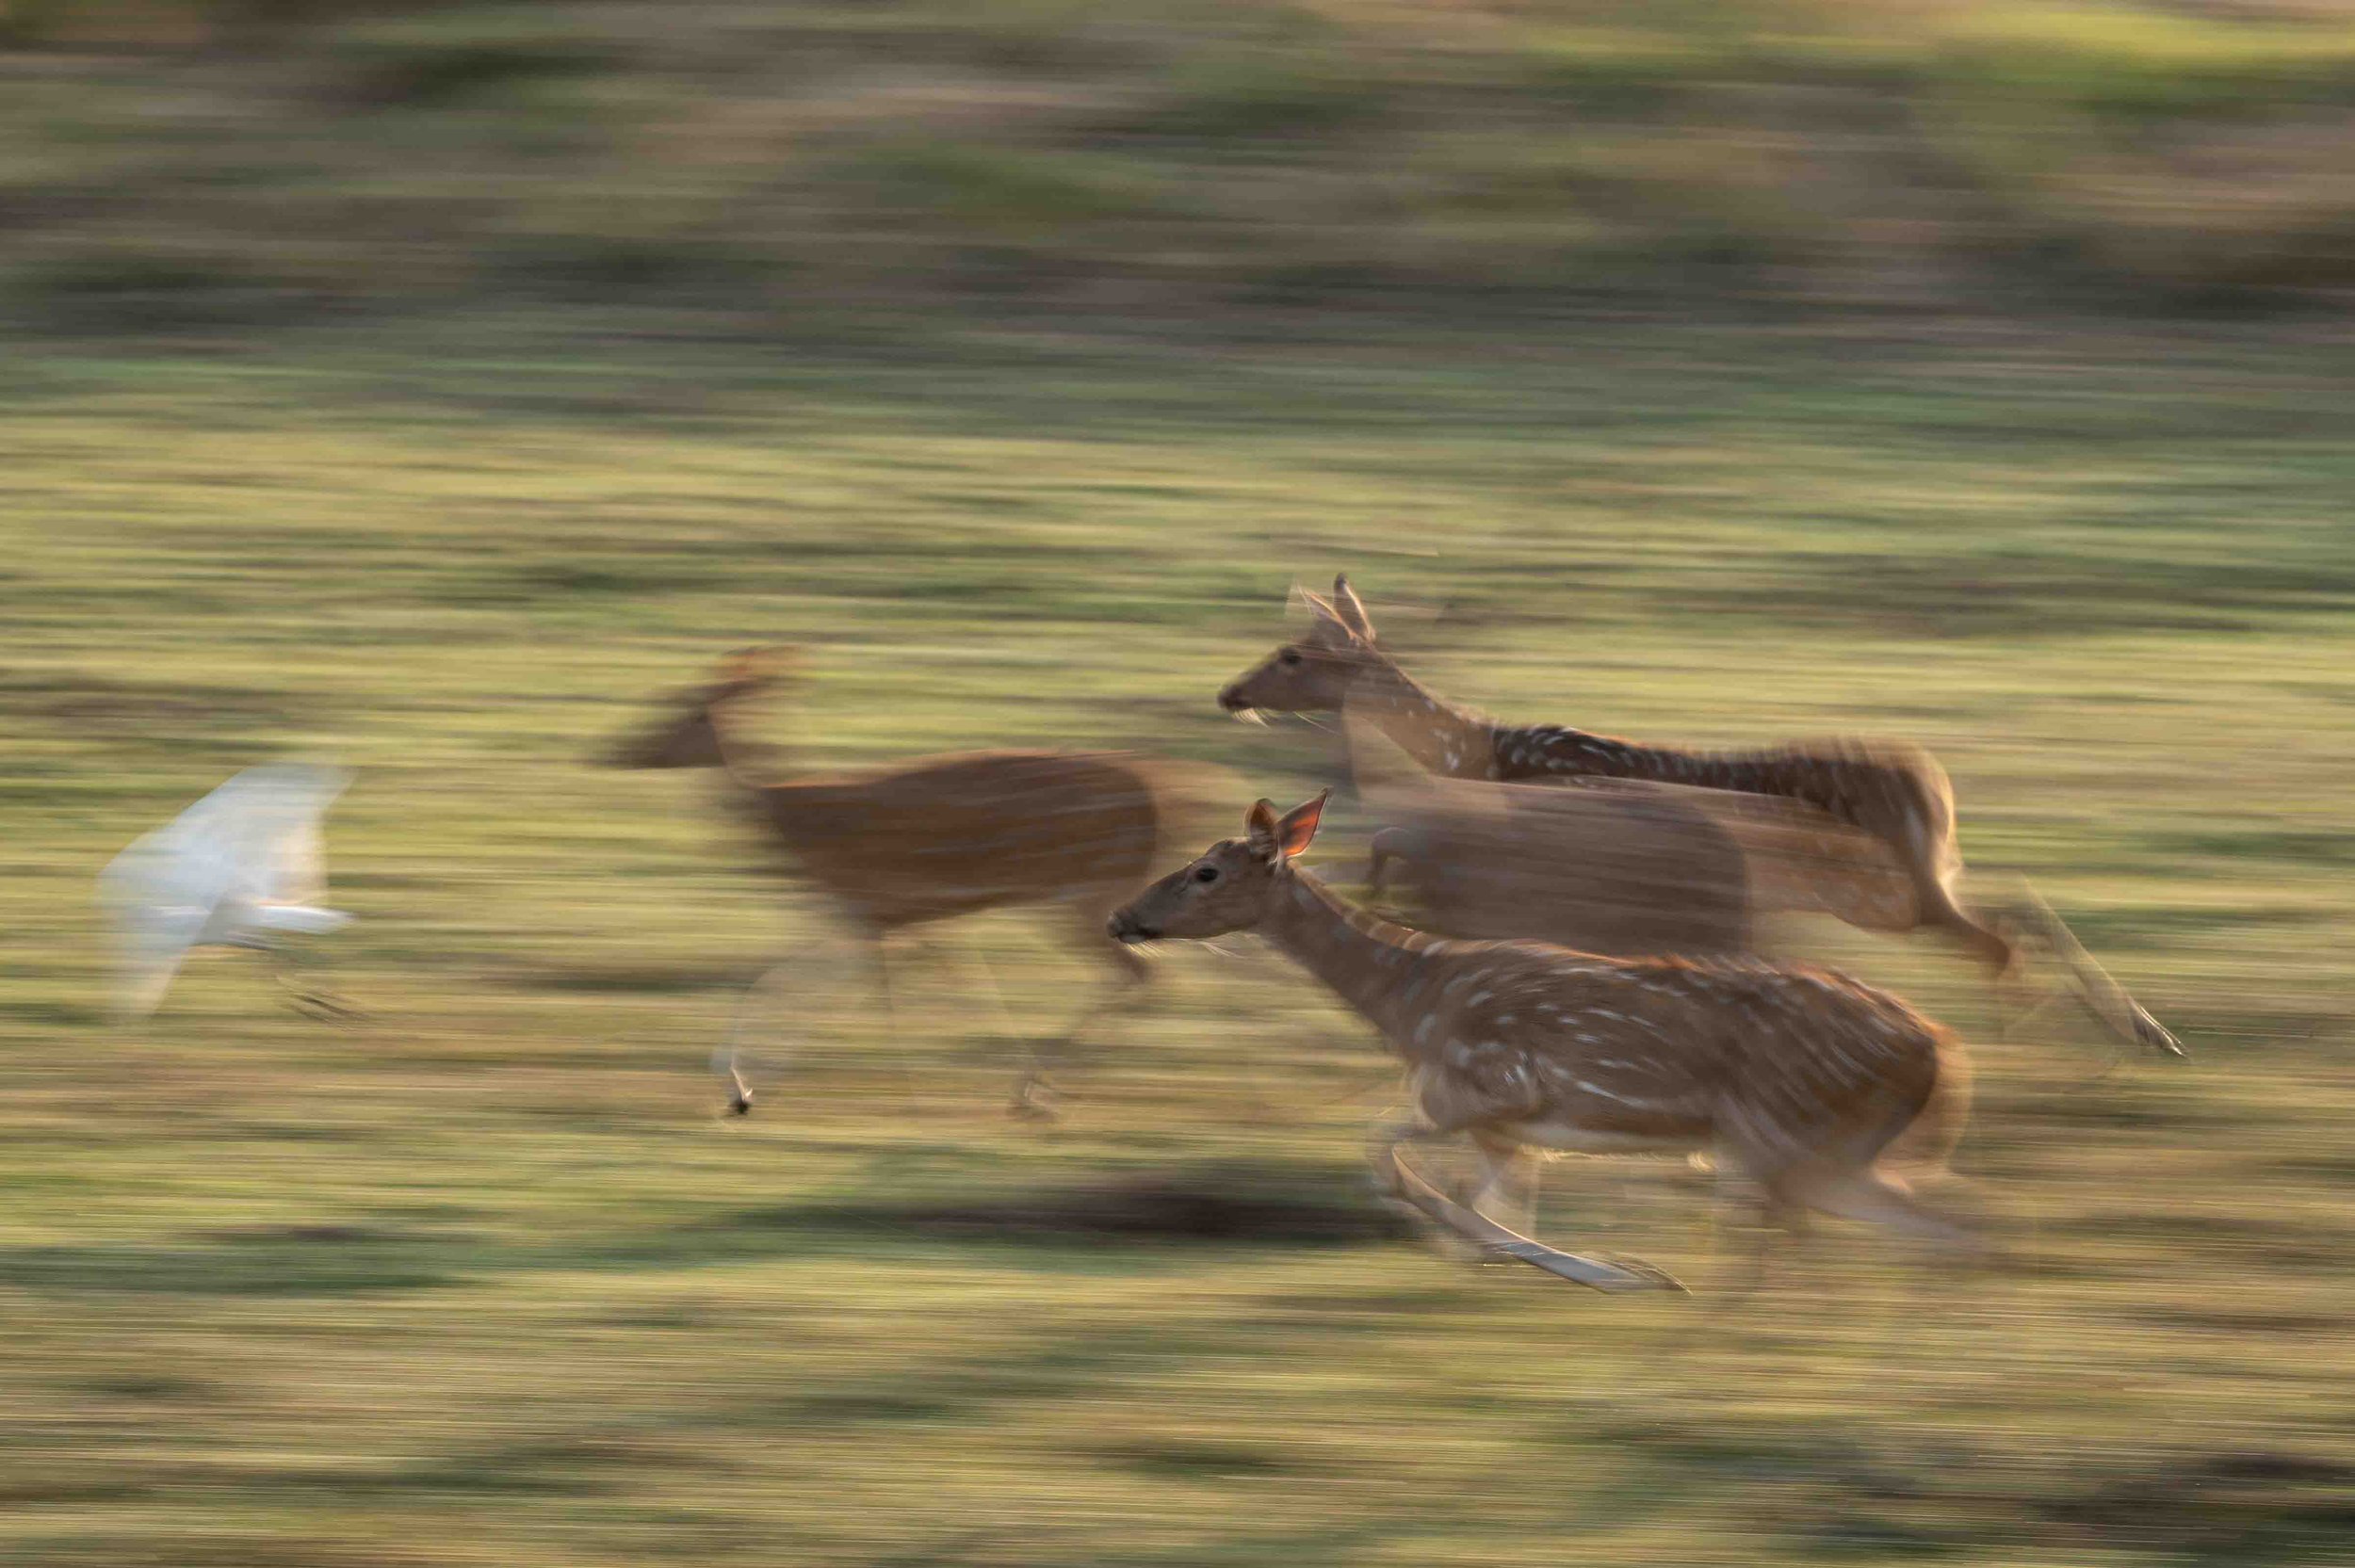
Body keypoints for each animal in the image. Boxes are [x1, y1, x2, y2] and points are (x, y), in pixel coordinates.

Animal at [609, 647, 1227, 1119]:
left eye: (683, 709)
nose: (617, 749)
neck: (791, 829)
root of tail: (1181, 797)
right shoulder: (874, 916)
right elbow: (790, 983)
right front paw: (742, 1091)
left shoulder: (866, 908)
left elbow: (852, 993)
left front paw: (908, 1095)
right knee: (1148, 974)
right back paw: (1041, 1088)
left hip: (1080, 892)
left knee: (1140, 973)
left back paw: (1032, 1091)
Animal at [1108, 791, 1980, 1292]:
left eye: (1208, 871)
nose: (1123, 916)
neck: (1408, 1002)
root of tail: (1942, 1052)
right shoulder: (1508, 1126)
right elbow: (1480, 1198)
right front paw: (1585, 1267)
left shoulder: (1493, 1084)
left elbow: (1391, 1158)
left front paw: (1623, 1273)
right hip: (1832, 1150)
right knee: (1939, 1227)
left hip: (1788, 1134)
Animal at [1219, 575, 2182, 1060]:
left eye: (1291, 653)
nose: (1230, 692)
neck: (1476, 750)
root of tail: (1934, 780)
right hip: (1909, 881)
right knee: (2018, 906)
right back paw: (2140, 1030)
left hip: (1897, 888)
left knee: (1999, 936)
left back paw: (2045, 1041)